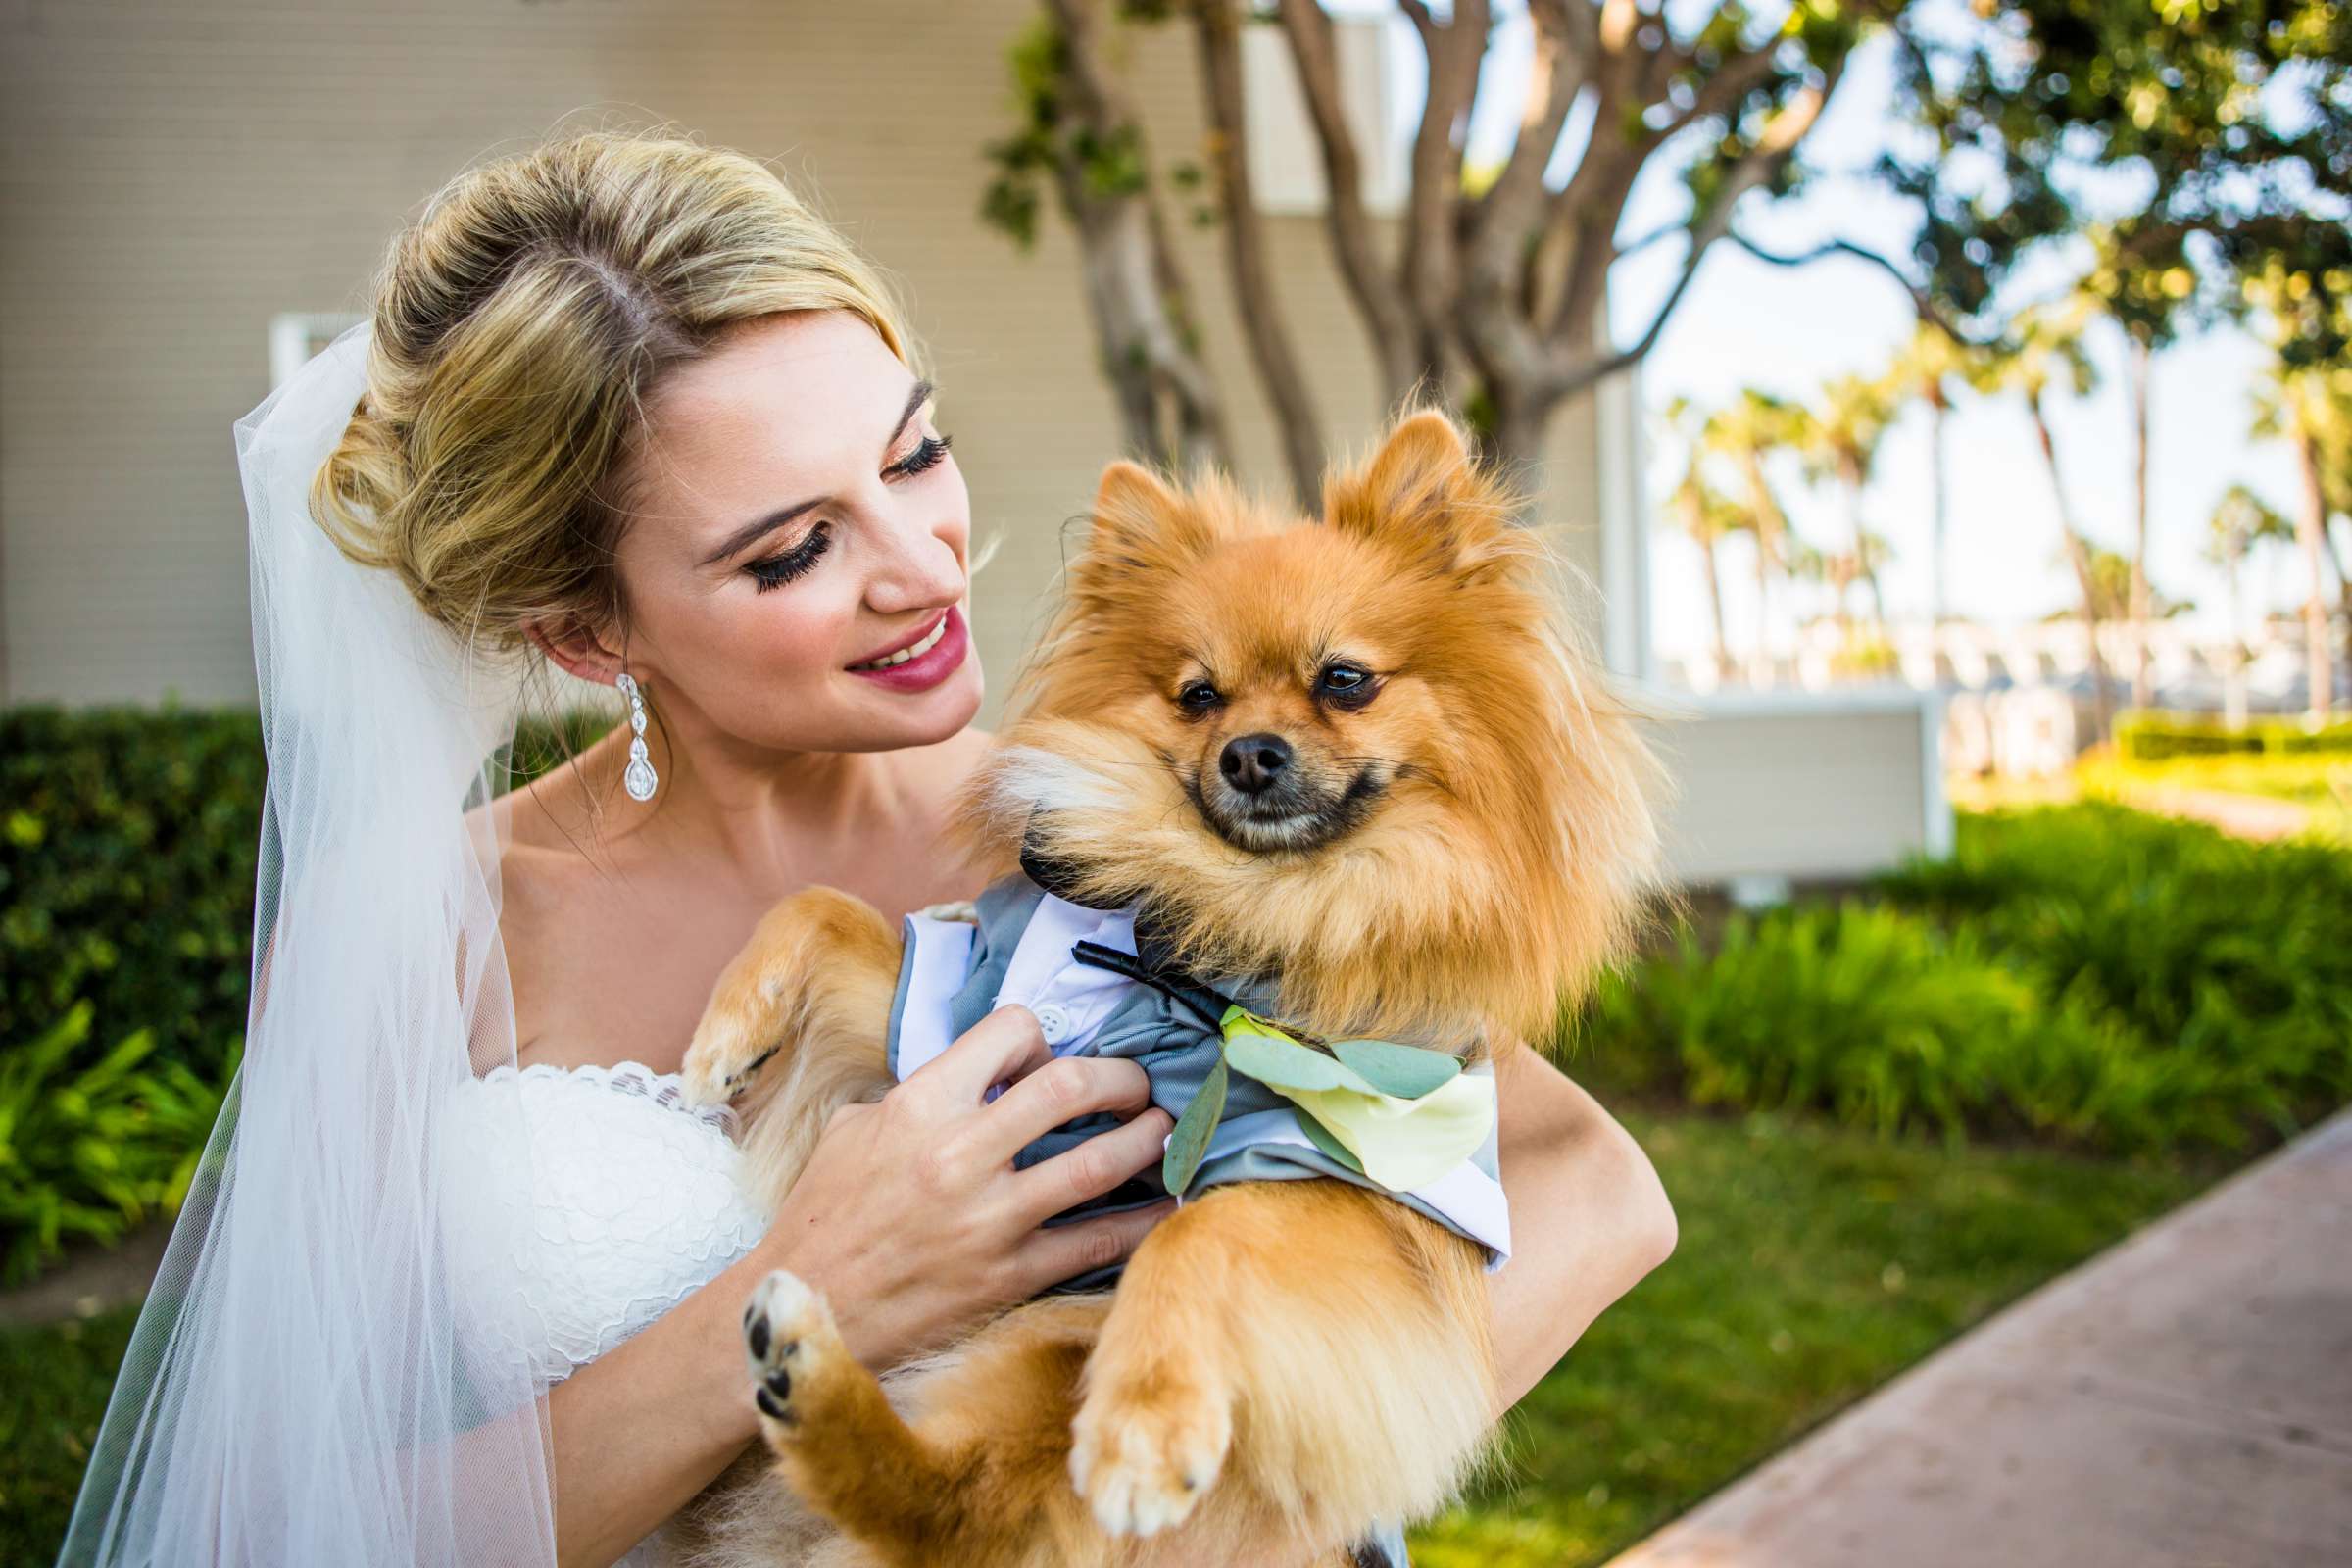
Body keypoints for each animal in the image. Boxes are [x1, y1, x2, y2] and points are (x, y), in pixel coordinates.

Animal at [672, 409, 1665, 1568]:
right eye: (1199, 695)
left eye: (1344, 681)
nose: (1250, 753)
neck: (1208, 942)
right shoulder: (973, 1023)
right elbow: (826, 906)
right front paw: (722, 1041)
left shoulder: (1347, 1182)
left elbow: (1201, 1233)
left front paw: (1141, 1433)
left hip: (1050, 1345)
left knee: (962, 1519)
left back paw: (810, 1374)